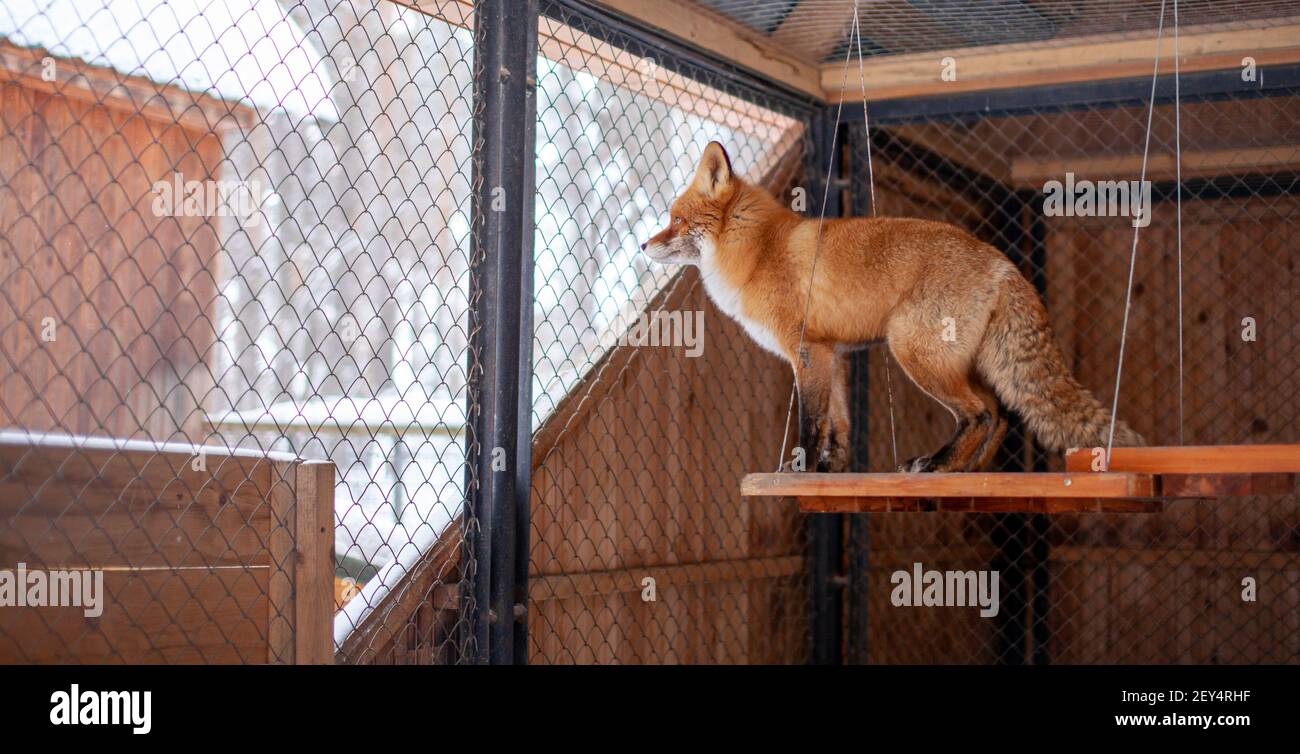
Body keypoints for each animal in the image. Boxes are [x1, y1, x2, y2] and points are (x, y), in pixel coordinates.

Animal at [644, 141, 1144, 470]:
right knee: (1000, 416)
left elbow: (811, 423)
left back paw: (939, 465)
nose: (644, 246)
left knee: (982, 413)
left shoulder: (806, 351)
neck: (759, 251)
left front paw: (798, 470)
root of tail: (1002, 261)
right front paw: (829, 471)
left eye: (676, 220)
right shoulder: (830, 354)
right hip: (954, 361)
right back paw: (965, 472)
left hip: (912, 349)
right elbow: (837, 425)